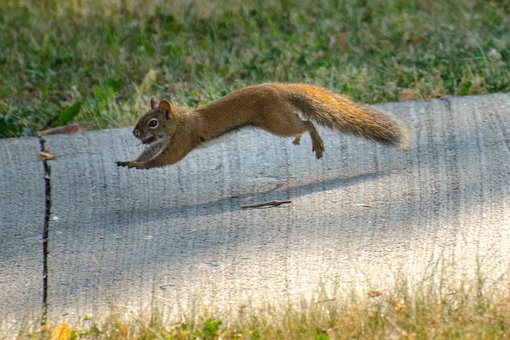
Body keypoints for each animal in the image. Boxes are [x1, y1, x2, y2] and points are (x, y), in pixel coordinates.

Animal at [115, 83, 410, 169]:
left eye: (152, 122)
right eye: (140, 120)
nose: (135, 132)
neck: (179, 120)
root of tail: (280, 89)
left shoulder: (183, 138)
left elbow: (164, 159)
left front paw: (140, 166)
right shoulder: (162, 142)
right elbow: (149, 152)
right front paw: (129, 160)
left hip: (276, 121)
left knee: (307, 123)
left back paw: (314, 141)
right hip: (280, 118)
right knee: (302, 123)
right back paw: (302, 140)